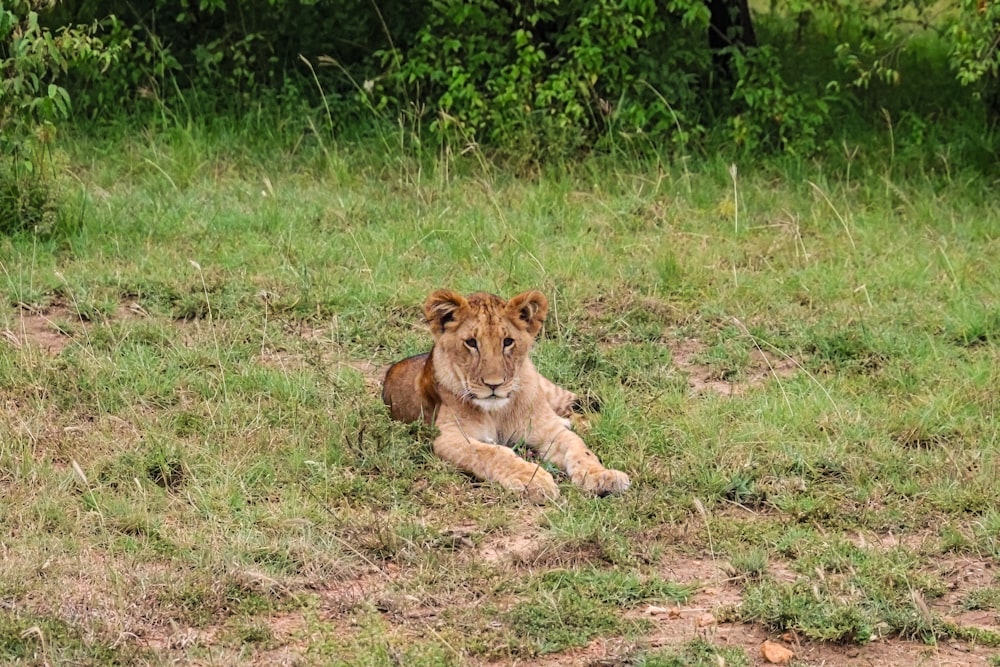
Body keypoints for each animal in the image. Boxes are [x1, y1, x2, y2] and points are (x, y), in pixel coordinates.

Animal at [378, 290, 628, 504]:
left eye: (507, 342)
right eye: (471, 343)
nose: (494, 384)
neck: (497, 411)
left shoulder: (547, 429)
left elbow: (579, 448)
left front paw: (603, 476)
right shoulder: (446, 436)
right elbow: (492, 452)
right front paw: (533, 479)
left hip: (550, 391)